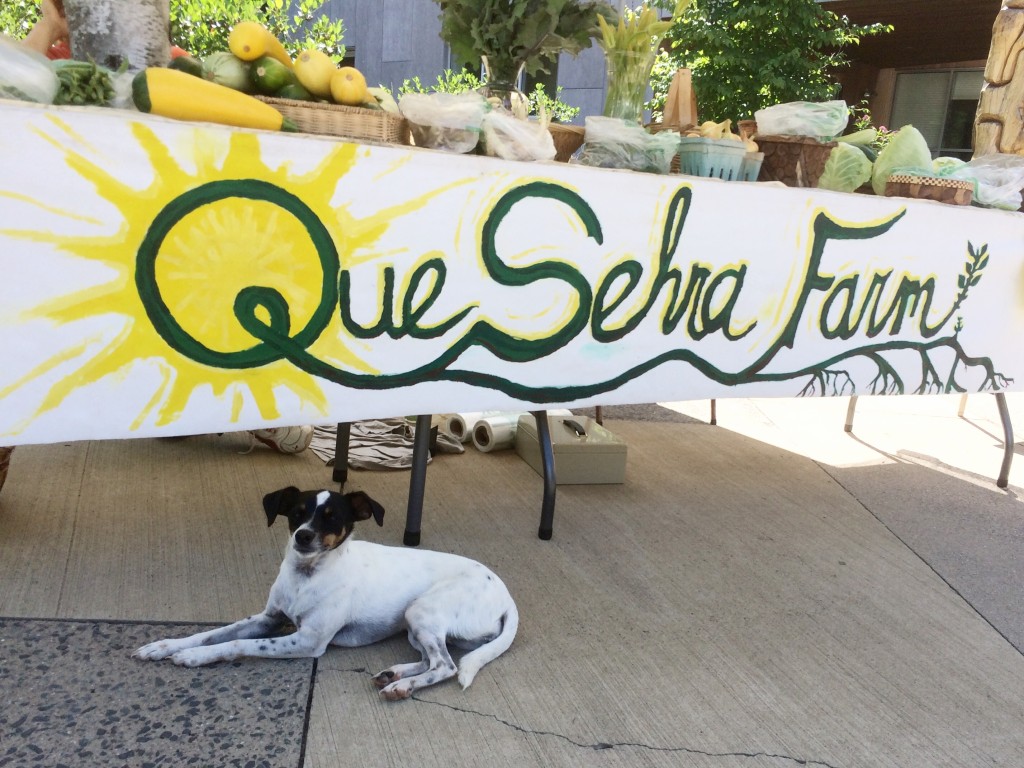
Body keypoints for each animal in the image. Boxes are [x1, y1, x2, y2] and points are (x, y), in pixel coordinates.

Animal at [134, 489, 520, 700]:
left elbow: (236, 644)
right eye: (296, 514)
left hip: (421, 611)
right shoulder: (267, 618)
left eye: (333, 519)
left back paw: (401, 687)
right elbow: (214, 633)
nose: (302, 536)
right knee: (431, 658)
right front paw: (165, 646)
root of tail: (506, 595)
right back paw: (395, 674)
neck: (306, 576)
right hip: (415, 625)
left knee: (446, 665)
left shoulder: (307, 641)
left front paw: (195, 657)